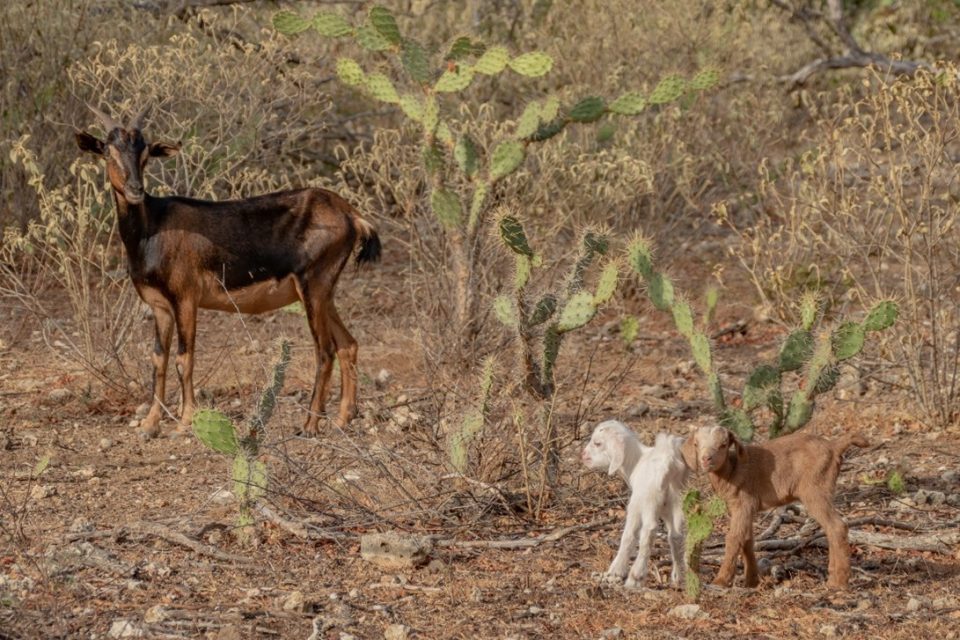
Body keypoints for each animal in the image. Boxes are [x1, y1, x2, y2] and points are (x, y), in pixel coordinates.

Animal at [76, 105, 378, 438]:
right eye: (108, 151)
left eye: (145, 154)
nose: (135, 190)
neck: (153, 228)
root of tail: (352, 215)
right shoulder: (160, 306)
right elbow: (158, 359)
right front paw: (149, 424)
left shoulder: (186, 299)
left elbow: (184, 358)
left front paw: (185, 422)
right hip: (325, 293)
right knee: (348, 344)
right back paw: (342, 419)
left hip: (313, 286)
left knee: (324, 350)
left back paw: (310, 425)